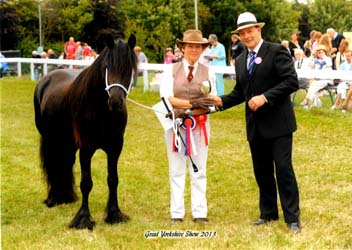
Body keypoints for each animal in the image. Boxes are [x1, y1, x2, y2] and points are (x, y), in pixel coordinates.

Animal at [33, 34, 137, 229]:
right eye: (107, 66)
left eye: (129, 68)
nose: (115, 102)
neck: (100, 111)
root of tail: (47, 77)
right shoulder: (86, 148)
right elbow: (86, 183)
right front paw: (83, 218)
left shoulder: (115, 148)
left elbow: (113, 180)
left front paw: (114, 214)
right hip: (51, 139)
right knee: (53, 163)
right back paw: (53, 198)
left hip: (67, 142)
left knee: (65, 162)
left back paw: (65, 196)